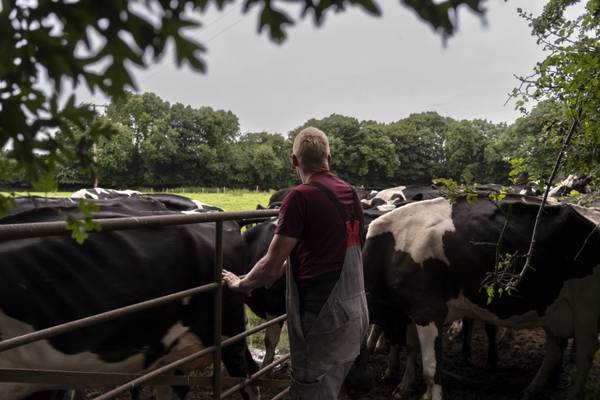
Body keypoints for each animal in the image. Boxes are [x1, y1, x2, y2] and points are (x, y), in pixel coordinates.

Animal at [360, 195, 600, 400]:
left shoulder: (429, 310)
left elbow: (430, 368)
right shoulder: (409, 311)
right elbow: (411, 348)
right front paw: (404, 387)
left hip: (586, 308)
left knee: (585, 353)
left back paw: (572, 394)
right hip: (553, 309)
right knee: (554, 347)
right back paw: (531, 389)